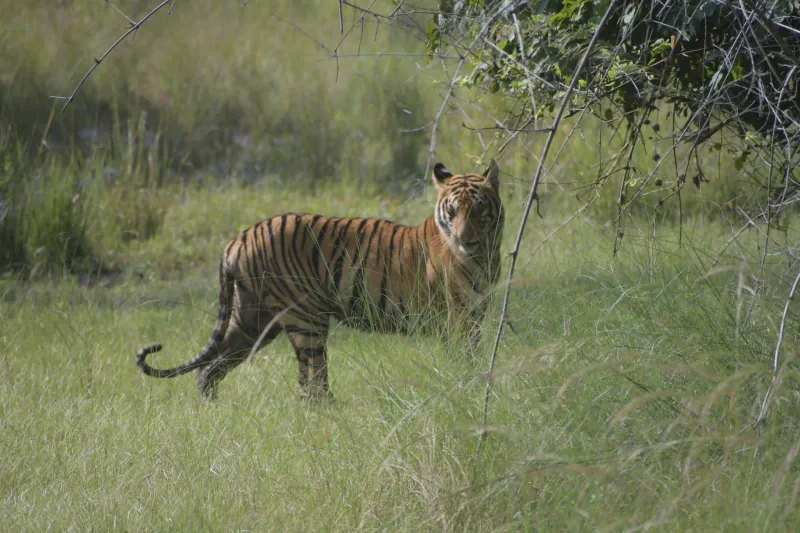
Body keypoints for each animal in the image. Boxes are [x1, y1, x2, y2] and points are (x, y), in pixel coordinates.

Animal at [136, 160, 504, 399]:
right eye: (452, 212)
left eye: (478, 210)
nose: (466, 240)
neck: (487, 254)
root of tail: (238, 238)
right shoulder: (459, 319)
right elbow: (466, 360)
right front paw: (469, 389)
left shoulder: (475, 315)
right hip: (305, 319)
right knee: (311, 383)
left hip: (253, 320)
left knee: (210, 368)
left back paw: (212, 409)